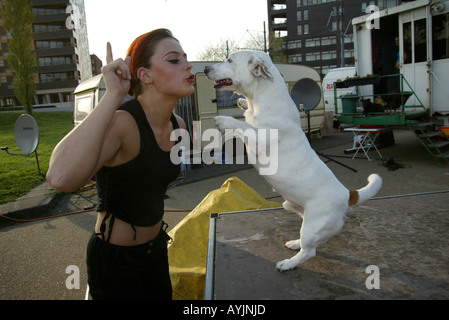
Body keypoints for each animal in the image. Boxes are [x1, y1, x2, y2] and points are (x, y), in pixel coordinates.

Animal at [203, 50, 382, 272]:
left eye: (230, 60)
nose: (205, 68)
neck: (261, 99)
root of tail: (347, 194)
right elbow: (243, 121)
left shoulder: (259, 139)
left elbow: (242, 125)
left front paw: (225, 120)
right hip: (299, 214)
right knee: (309, 244)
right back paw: (295, 243)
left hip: (313, 227)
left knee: (309, 252)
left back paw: (289, 263)